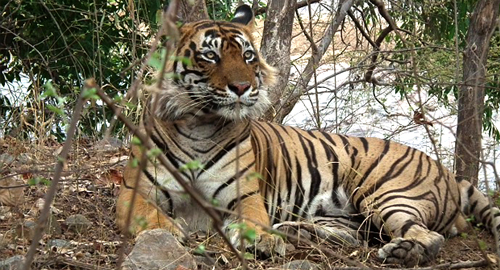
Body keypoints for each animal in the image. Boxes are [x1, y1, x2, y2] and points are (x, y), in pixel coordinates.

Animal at [116, 3, 500, 266]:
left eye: (248, 55)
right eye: (210, 56)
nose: (242, 87)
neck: (201, 123)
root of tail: (447, 171)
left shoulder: (245, 195)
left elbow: (253, 218)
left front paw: (261, 240)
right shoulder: (134, 191)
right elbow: (151, 216)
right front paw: (171, 231)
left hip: (386, 194)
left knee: (429, 236)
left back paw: (402, 251)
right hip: (346, 217)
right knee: (353, 237)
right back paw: (294, 230)